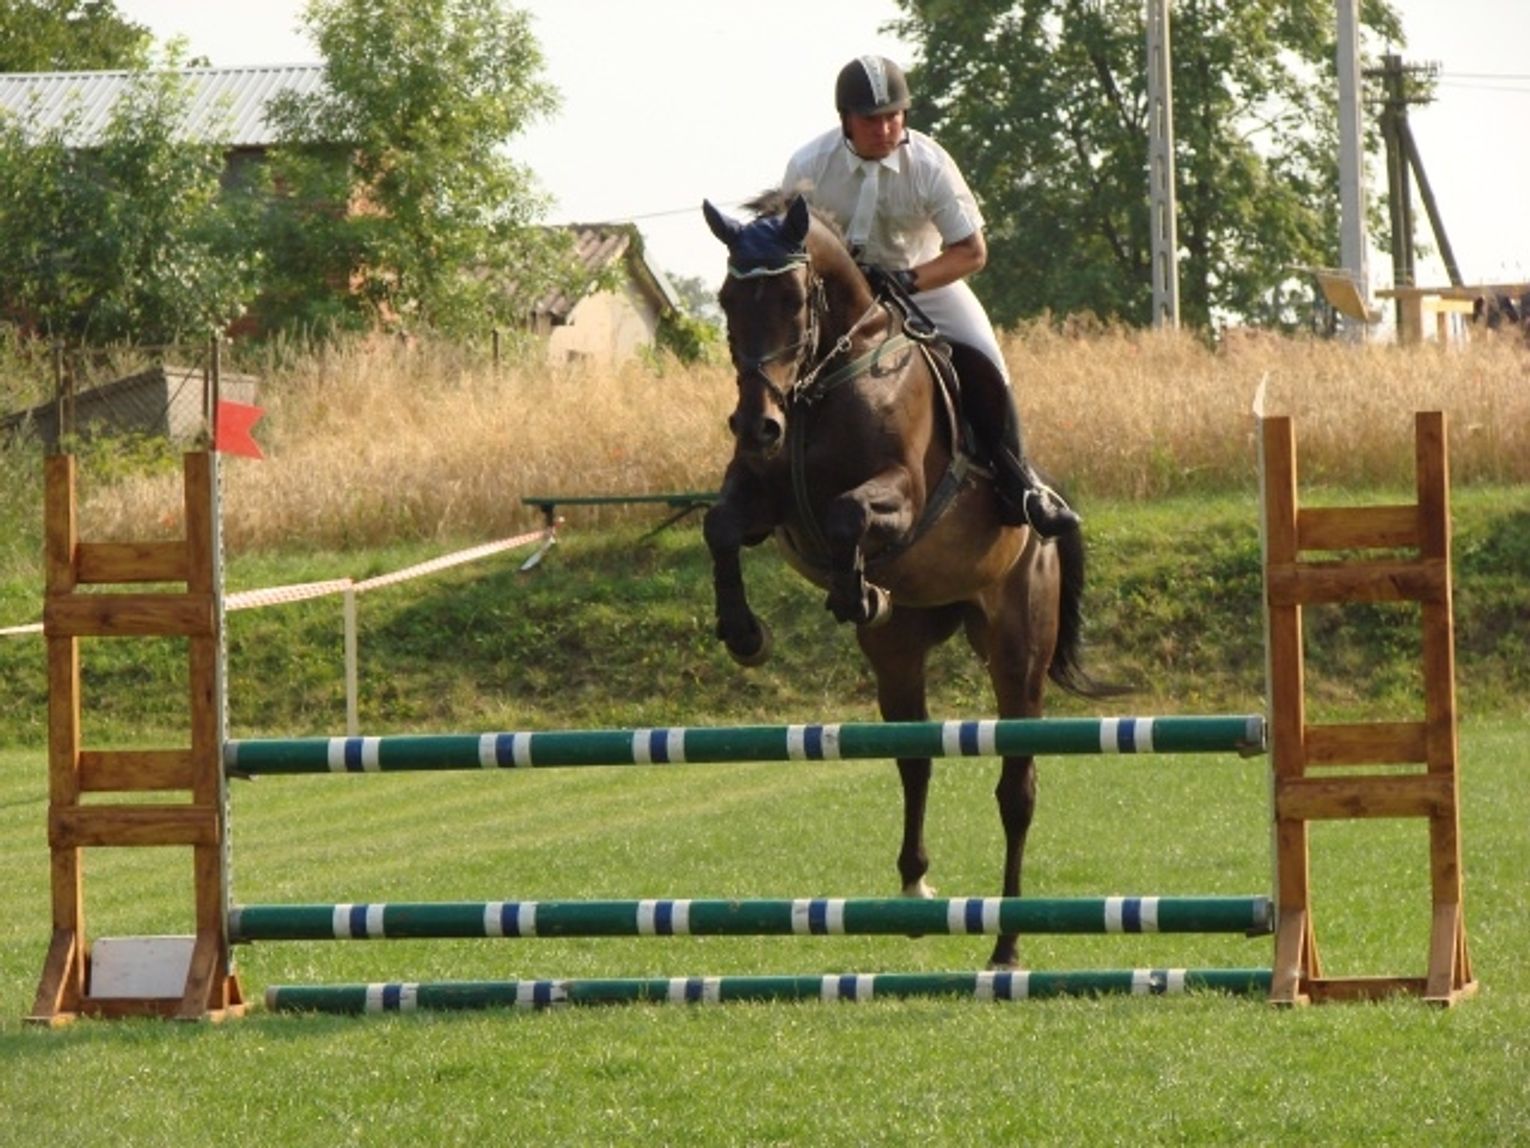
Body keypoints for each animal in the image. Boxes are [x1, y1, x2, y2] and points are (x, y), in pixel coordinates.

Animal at [700, 190, 1116, 970]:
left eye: (795, 299)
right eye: (726, 300)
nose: (755, 424)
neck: (824, 380)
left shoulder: (900, 495)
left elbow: (845, 515)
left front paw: (855, 589)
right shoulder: (761, 497)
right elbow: (719, 525)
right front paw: (745, 634)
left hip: (1018, 647)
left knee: (1017, 789)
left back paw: (1008, 944)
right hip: (900, 654)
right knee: (914, 757)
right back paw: (915, 889)